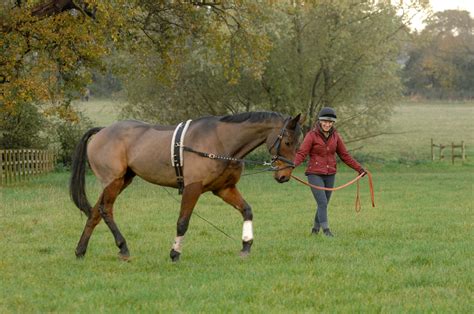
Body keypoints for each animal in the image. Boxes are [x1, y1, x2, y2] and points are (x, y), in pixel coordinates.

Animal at [68, 111, 302, 262]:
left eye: (298, 143)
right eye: (288, 142)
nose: (284, 175)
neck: (221, 142)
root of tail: (103, 131)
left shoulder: (224, 189)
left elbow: (247, 210)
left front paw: (246, 244)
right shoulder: (192, 188)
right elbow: (183, 222)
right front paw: (175, 253)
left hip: (122, 180)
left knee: (95, 213)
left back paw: (80, 250)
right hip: (113, 181)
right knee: (105, 210)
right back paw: (122, 247)